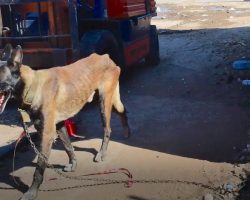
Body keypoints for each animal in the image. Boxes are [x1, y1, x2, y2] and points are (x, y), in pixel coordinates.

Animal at [0, 44, 130, 200]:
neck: (34, 86)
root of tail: (105, 57)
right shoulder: (59, 125)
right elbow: (68, 147)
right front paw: (73, 164)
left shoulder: (47, 135)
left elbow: (39, 168)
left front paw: (31, 192)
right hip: (108, 100)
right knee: (123, 110)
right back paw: (127, 131)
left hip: (104, 103)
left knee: (107, 129)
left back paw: (102, 153)